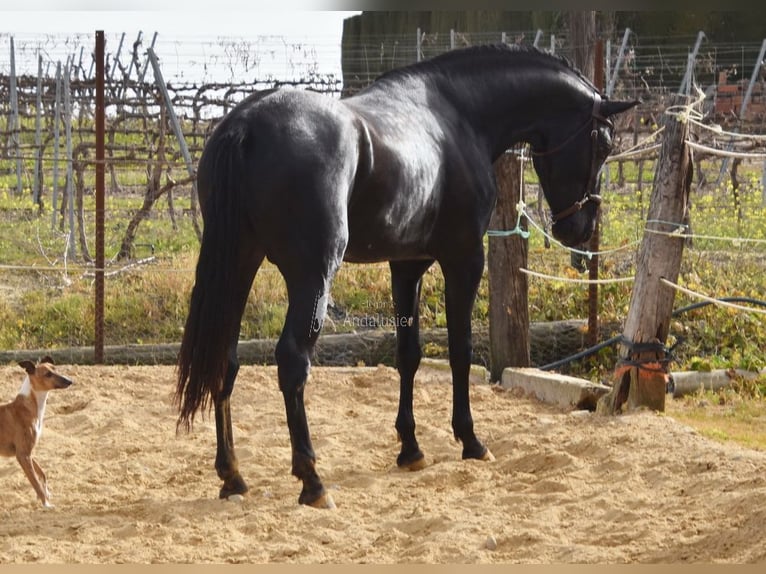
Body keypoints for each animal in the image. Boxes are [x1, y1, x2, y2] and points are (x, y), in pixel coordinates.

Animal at [175, 44, 638, 508]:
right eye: (603, 142)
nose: (580, 228)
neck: (458, 115)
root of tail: (247, 125)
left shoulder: (407, 265)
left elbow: (408, 354)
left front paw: (411, 449)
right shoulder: (464, 260)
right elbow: (460, 350)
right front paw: (471, 441)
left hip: (240, 265)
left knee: (225, 360)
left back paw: (233, 476)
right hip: (312, 275)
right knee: (292, 362)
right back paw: (312, 480)